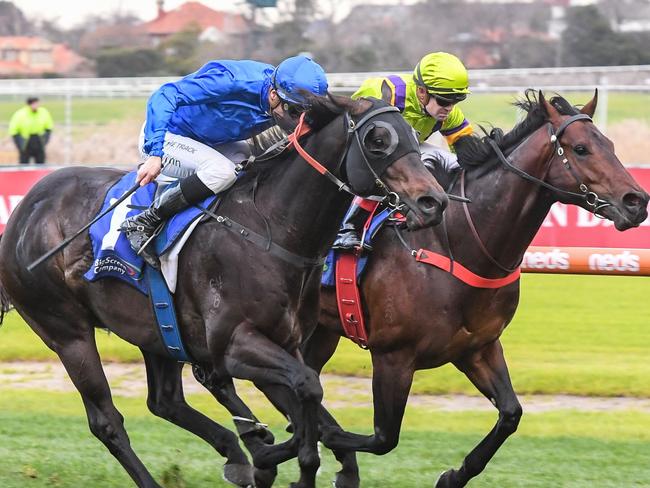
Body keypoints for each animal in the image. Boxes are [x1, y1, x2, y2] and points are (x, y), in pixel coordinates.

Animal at [0, 95, 446, 488]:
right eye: (377, 139)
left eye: (414, 134)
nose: (433, 201)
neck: (270, 228)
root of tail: (24, 211)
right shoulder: (234, 344)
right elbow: (307, 391)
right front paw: (274, 452)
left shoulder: (285, 342)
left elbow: (308, 399)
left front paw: (279, 452)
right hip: (67, 332)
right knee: (107, 421)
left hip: (156, 329)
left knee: (164, 401)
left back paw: (236, 451)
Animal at [302, 89, 648, 486]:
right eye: (580, 149)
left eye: (609, 144)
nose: (637, 201)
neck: (454, 242)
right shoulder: (393, 356)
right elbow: (383, 437)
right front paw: (326, 445)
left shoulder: (478, 347)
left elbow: (511, 413)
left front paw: (454, 475)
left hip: (323, 329)